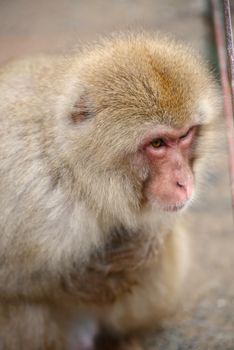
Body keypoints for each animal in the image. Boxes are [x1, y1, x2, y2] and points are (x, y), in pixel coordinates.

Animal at [0, 32, 220, 348]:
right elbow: (15, 281)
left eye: (185, 135)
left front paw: (148, 241)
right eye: (157, 144)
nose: (184, 181)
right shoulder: (32, 196)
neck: (77, 175)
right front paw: (84, 280)